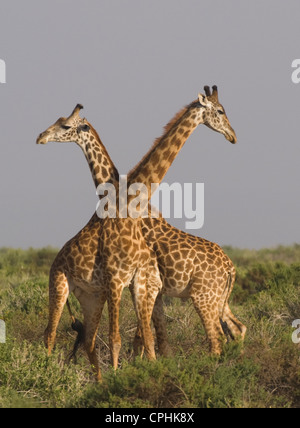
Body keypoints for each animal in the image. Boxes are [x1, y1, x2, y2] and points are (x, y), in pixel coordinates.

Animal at [37, 85, 244, 380]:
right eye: (220, 110)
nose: (232, 135)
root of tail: (231, 268)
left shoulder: (143, 284)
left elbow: (143, 340)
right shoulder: (138, 285)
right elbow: (144, 341)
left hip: (202, 297)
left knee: (221, 337)